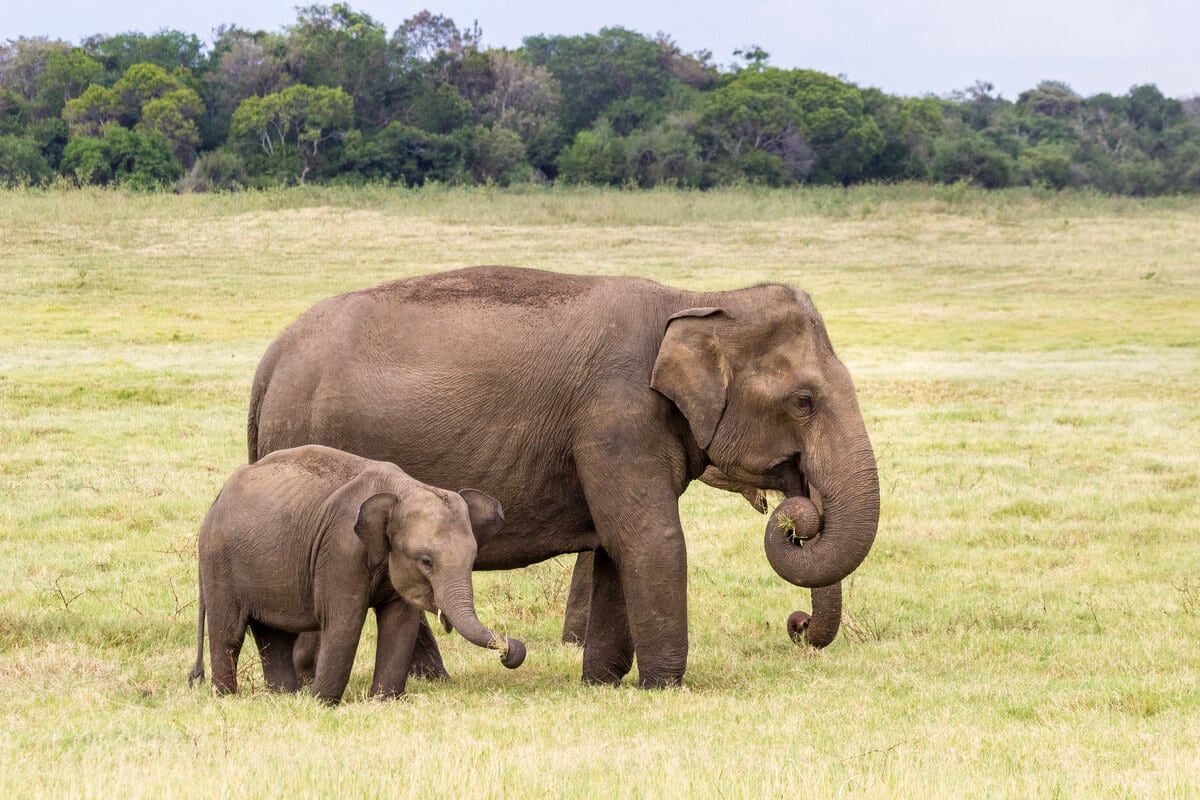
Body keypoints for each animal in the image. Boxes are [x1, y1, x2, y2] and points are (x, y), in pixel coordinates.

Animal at [188, 444, 525, 704]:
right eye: (426, 561)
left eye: (472, 559)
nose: (511, 650)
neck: (404, 489)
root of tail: (217, 499)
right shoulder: (341, 549)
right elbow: (344, 621)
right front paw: (322, 704)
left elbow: (400, 623)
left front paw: (384, 701)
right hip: (219, 559)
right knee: (229, 633)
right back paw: (228, 698)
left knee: (274, 634)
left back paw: (284, 697)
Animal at [248, 266, 880, 688]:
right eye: (804, 401)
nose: (796, 624)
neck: (699, 298)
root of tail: (270, 361)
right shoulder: (616, 416)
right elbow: (649, 539)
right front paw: (666, 687)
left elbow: (613, 549)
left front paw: (601, 683)